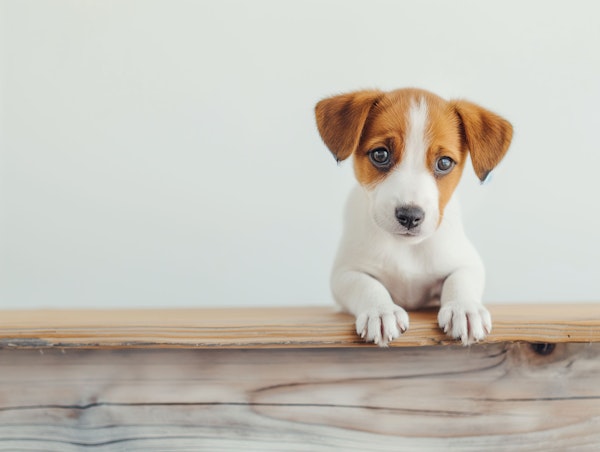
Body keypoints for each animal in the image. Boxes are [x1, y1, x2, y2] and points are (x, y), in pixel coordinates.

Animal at [316, 89, 512, 350]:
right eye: (380, 154)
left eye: (444, 162)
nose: (410, 216)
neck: (406, 248)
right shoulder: (345, 273)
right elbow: (367, 285)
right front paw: (381, 310)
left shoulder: (468, 262)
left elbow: (459, 280)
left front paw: (464, 308)